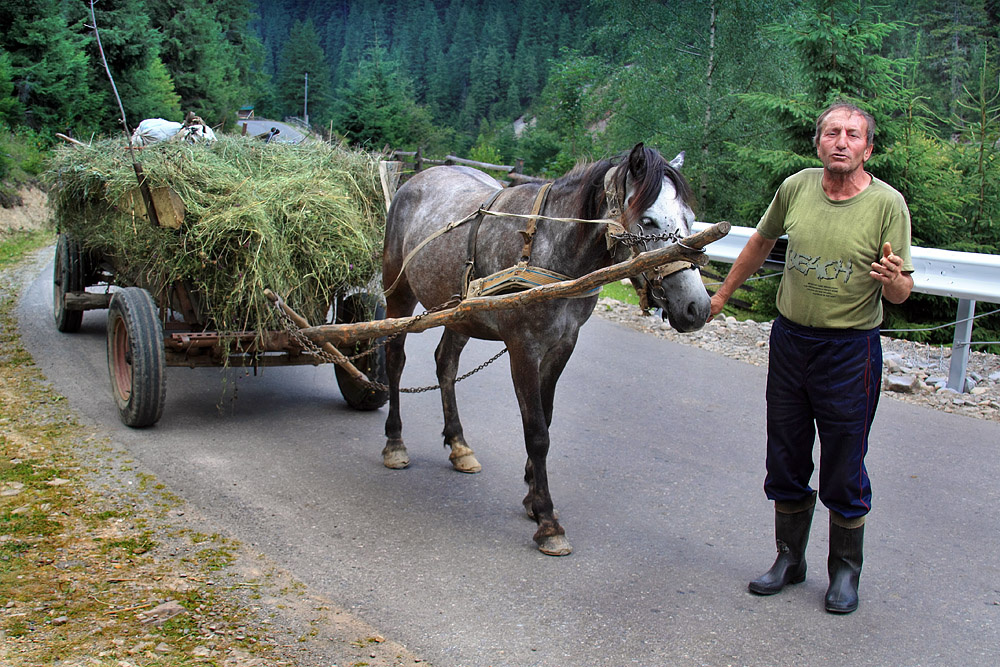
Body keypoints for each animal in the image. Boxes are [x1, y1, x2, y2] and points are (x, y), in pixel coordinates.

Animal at [381, 143, 710, 556]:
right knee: (395, 361)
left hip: (461, 312)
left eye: (691, 219)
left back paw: (459, 445)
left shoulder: (562, 346)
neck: (550, 248)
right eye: (648, 221)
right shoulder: (523, 348)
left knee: (446, 365)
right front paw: (548, 520)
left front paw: (532, 496)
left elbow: (546, 417)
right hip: (398, 294)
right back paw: (395, 442)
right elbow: (536, 432)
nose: (697, 308)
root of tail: (416, 179)